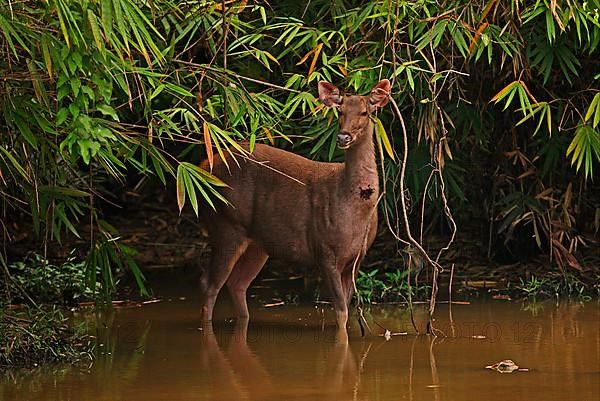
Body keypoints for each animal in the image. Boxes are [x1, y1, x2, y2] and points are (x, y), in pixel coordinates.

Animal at [199, 79, 392, 328]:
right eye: (339, 111)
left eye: (365, 112)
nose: (343, 137)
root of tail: (203, 167)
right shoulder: (324, 249)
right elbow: (341, 312)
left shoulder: (357, 257)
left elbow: (345, 308)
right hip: (226, 224)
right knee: (210, 284)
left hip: (258, 243)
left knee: (237, 283)